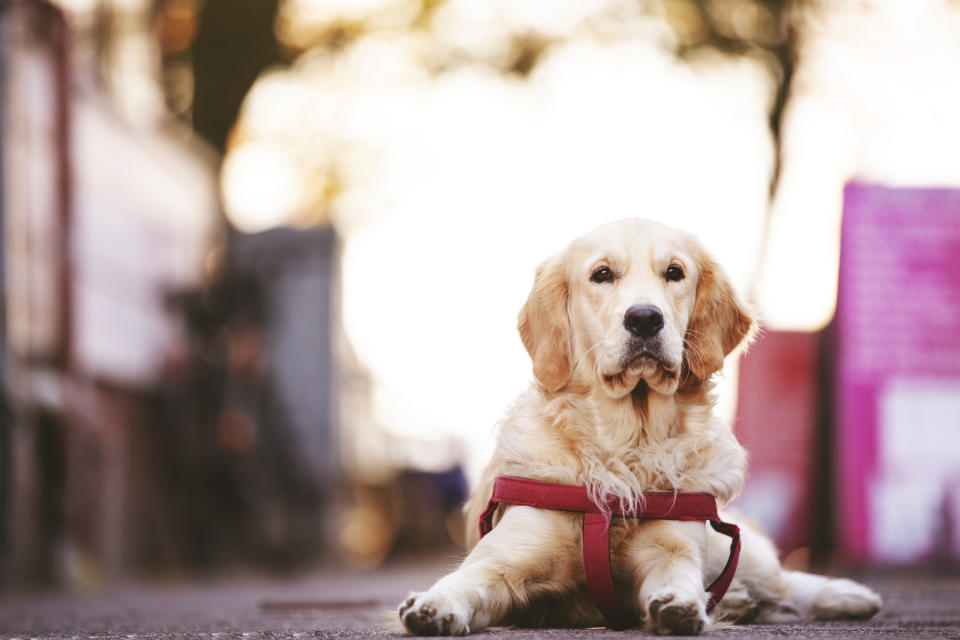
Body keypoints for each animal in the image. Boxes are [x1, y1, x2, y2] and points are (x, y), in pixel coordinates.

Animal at [394, 219, 880, 636]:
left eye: (674, 273)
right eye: (602, 275)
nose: (644, 318)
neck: (626, 448)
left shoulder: (674, 544)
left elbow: (679, 573)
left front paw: (680, 604)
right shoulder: (504, 559)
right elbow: (464, 581)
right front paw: (433, 606)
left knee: (783, 582)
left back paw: (848, 595)